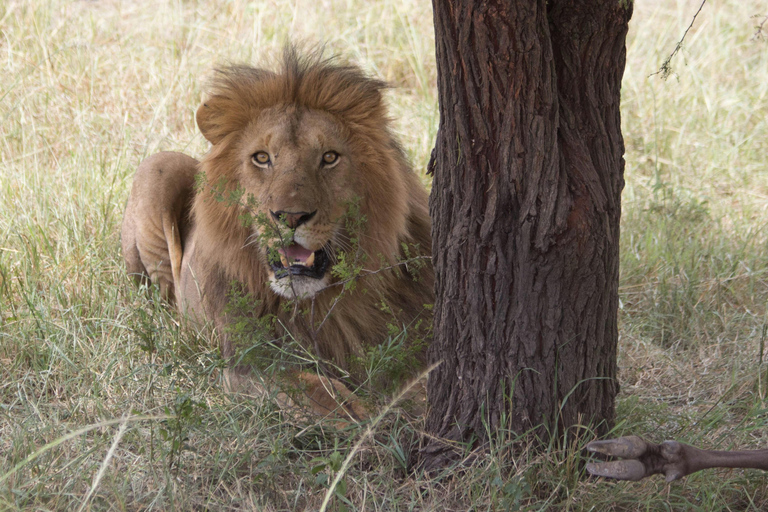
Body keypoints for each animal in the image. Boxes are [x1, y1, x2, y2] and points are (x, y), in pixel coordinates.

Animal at [120, 49, 432, 420]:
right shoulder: (247, 364)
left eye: (329, 157)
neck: (319, 302)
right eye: (262, 158)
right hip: (157, 167)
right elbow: (322, 396)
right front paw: (369, 421)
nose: (291, 216)